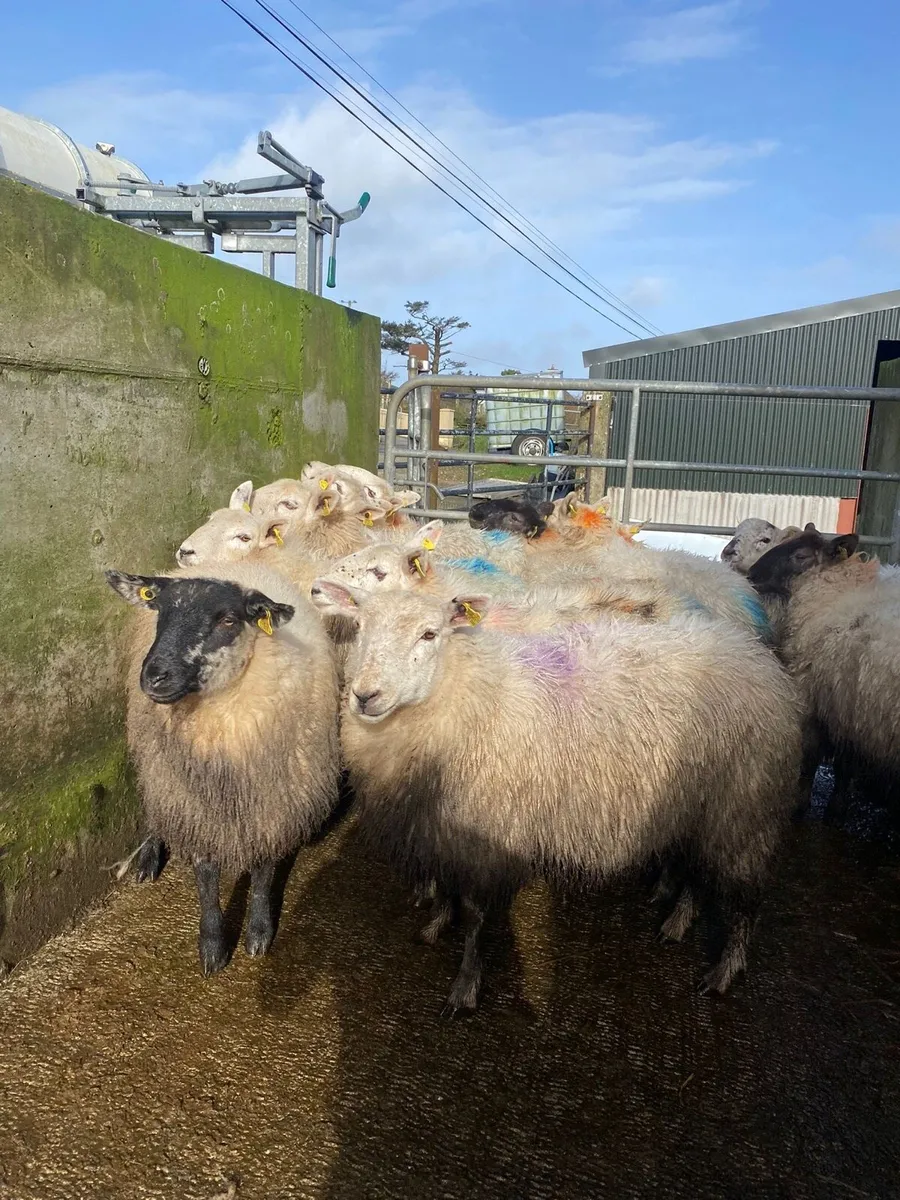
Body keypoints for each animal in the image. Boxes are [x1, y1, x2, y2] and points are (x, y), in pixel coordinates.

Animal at [106, 561, 340, 975]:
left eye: (228, 619)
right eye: (160, 611)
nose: (154, 676)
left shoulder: (273, 799)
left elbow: (263, 871)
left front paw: (259, 933)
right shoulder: (194, 801)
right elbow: (205, 874)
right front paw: (213, 945)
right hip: (159, 767)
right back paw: (148, 855)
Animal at [311, 583, 802, 1015]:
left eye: (430, 634)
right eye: (359, 627)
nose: (365, 696)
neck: (467, 690)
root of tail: (755, 654)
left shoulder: (487, 837)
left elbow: (475, 917)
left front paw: (465, 987)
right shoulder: (438, 830)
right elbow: (446, 888)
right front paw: (435, 924)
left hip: (743, 808)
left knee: (744, 901)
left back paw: (725, 971)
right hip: (697, 806)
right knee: (695, 871)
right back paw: (677, 923)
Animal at [747, 524, 899, 818]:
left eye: (801, 556)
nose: (751, 575)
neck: (833, 594)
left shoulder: (816, 701)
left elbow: (811, 760)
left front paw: (800, 805)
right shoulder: (849, 706)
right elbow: (845, 765)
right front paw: (837, 808)